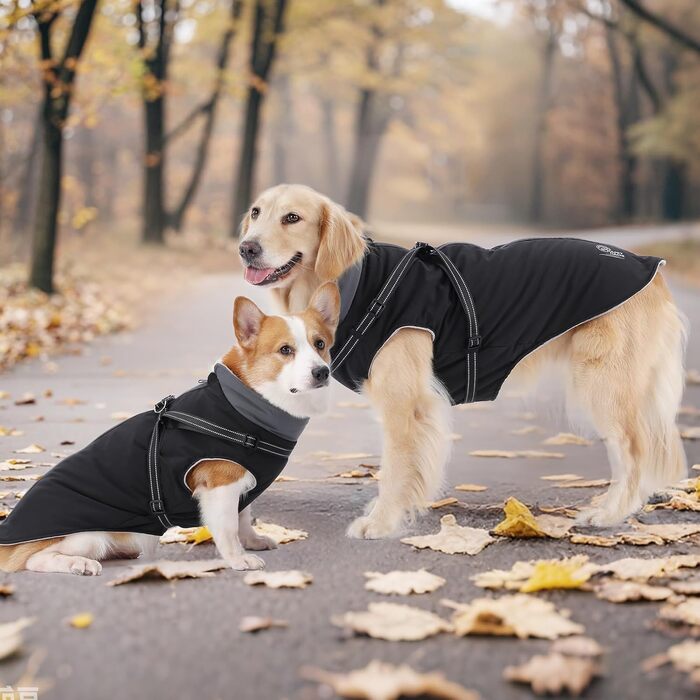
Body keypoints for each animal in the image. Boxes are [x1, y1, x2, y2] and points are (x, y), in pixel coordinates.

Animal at [0, 284, 340, 576]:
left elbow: (244, 517)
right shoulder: (220, 485)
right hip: (87, 536)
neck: (248, 402)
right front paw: (238, 559)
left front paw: (253, 540)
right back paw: (76, 564)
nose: (322, 372)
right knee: (35, 560)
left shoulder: (241, 485)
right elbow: (229, 528)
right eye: (285, 350)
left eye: (320, 344)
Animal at [238, 183, 688, 540]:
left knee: (636, 452)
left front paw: (382, 523)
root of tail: (653, 270)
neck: (354, 284)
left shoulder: (406, 404)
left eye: (292, 217)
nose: (246, 247)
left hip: (602, 384)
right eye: (256, 212)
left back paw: (610, 513)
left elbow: (396, 469)